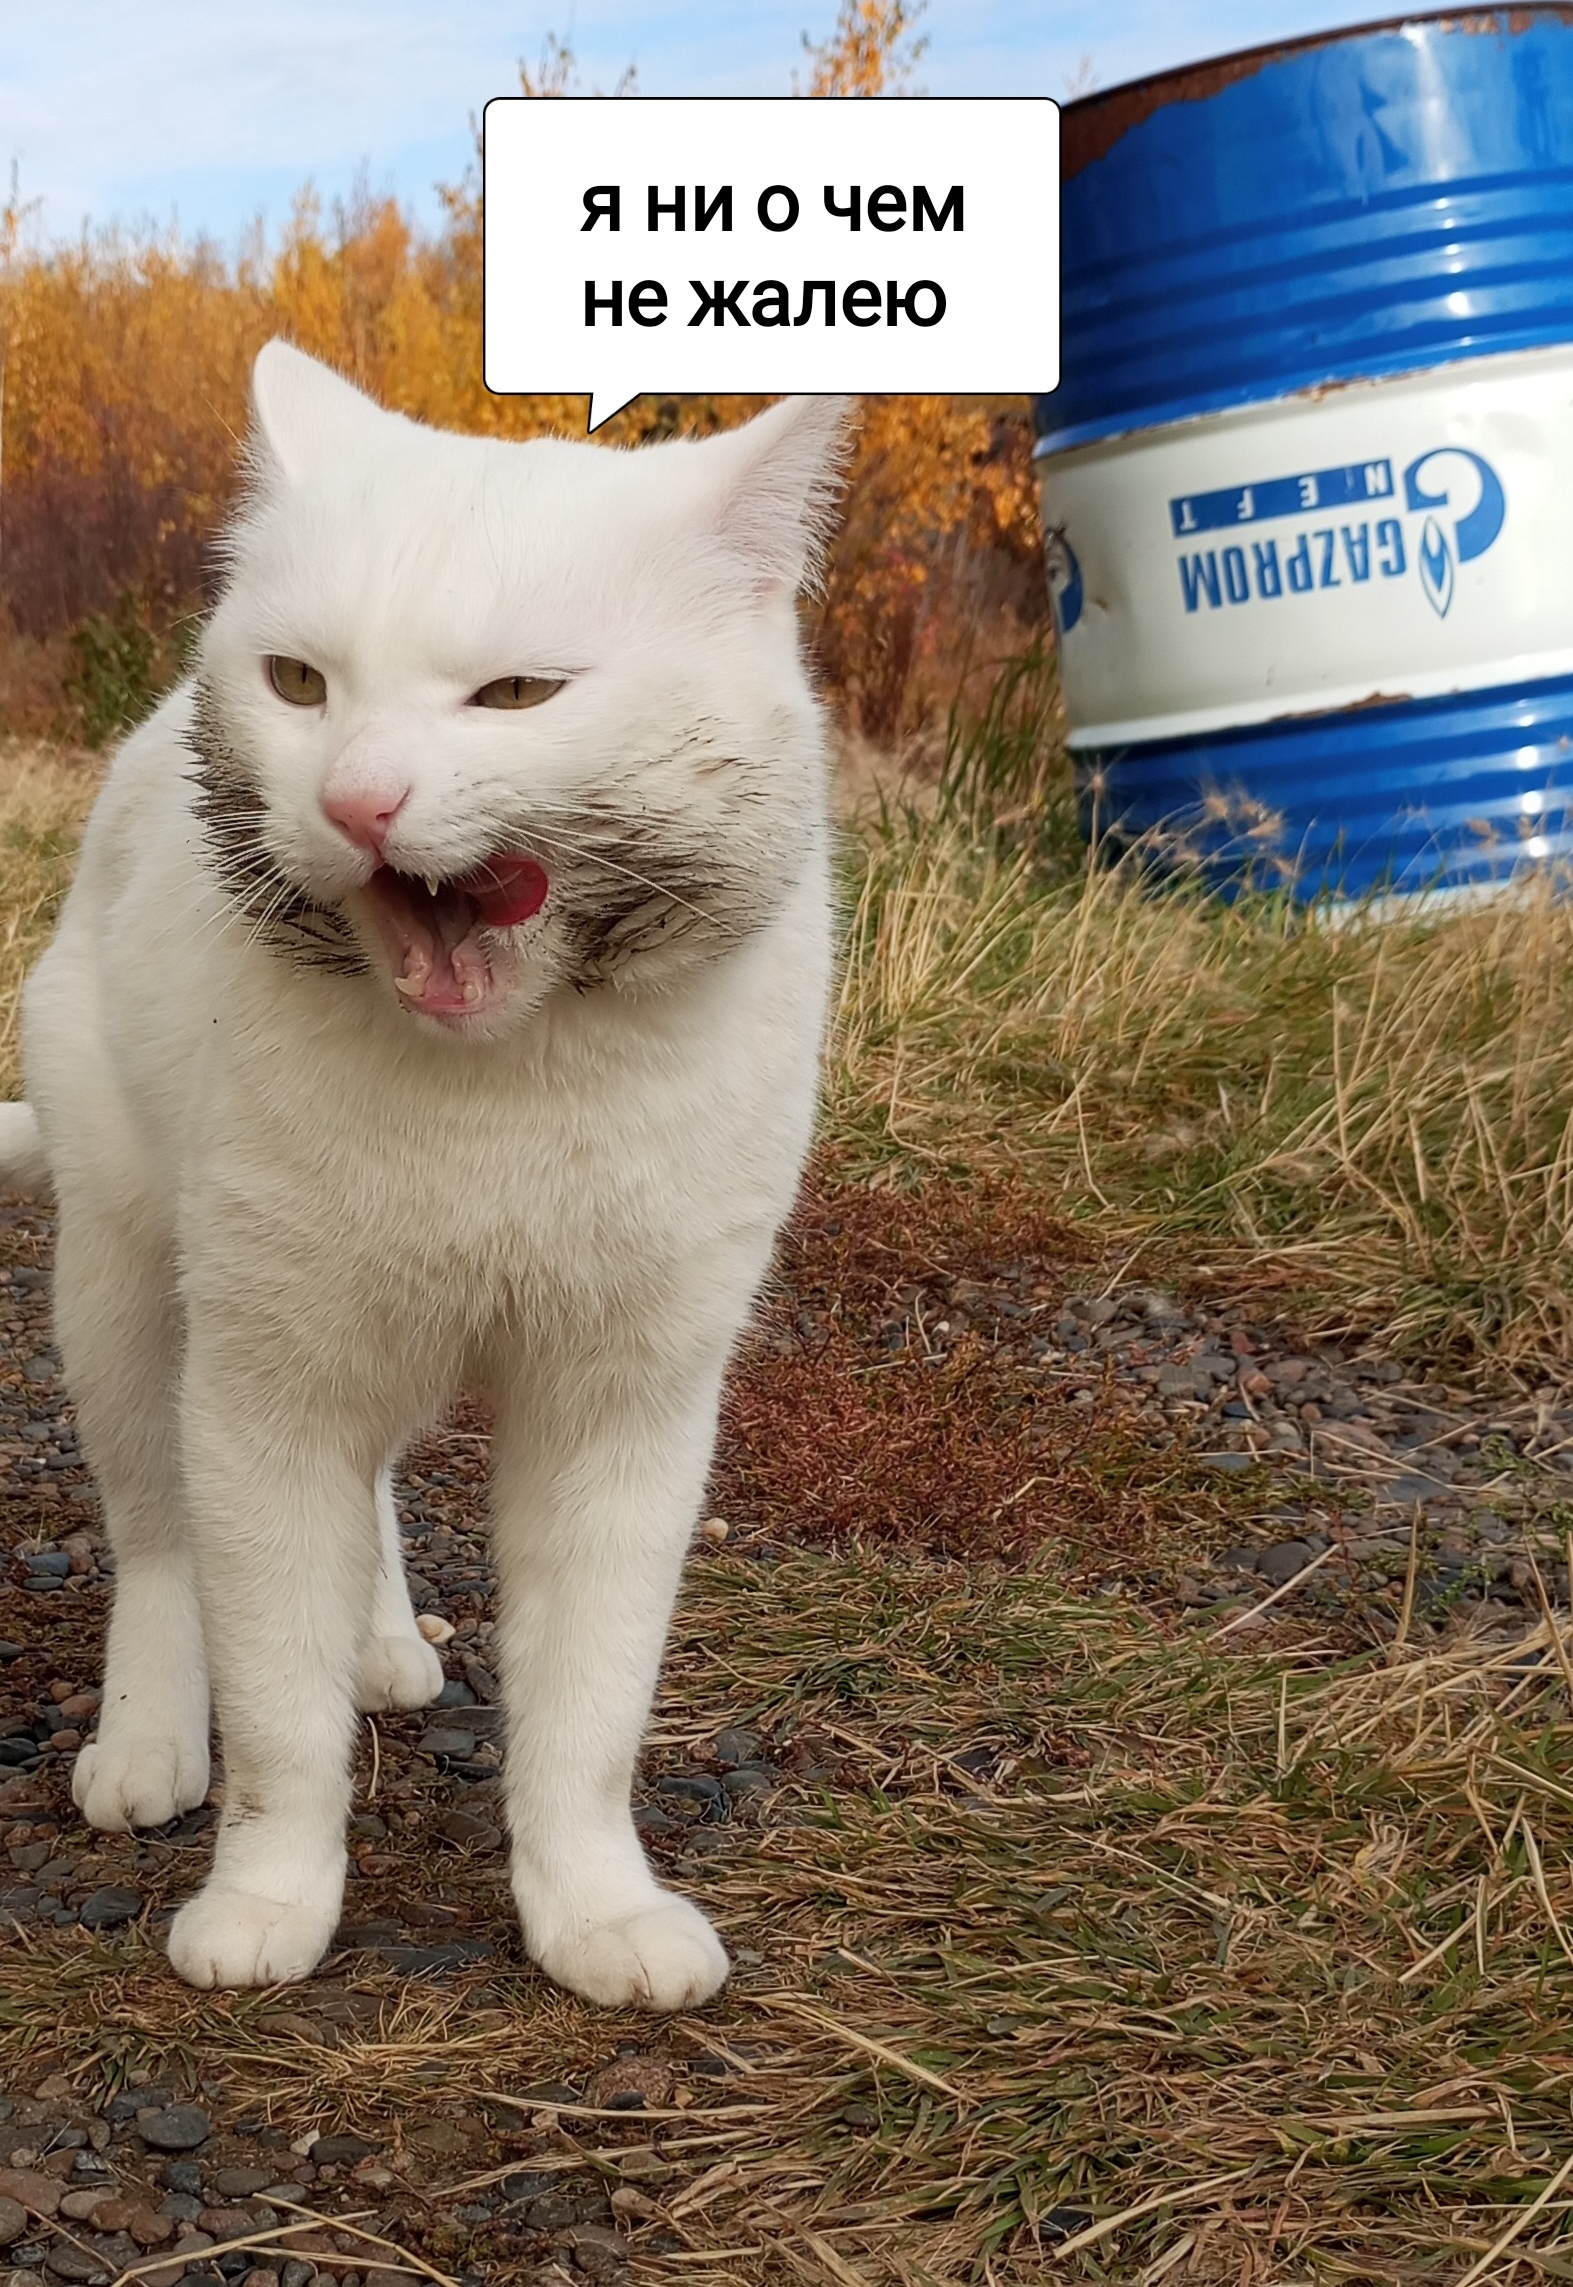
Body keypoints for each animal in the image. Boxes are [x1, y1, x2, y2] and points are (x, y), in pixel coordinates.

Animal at [3, 343, 845, 2003]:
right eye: (299, 685)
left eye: (517, 694)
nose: (354, 800)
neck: (500, 1088)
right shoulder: (266, 1384)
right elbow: (275, 1713)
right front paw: (268, 1900)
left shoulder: (623, 1408)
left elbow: (587, 1712)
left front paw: (594, 1910)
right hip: (125, 1289)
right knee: (158, 1539)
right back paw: (148, 1735)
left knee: (378, 1483)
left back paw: (384, 1637)